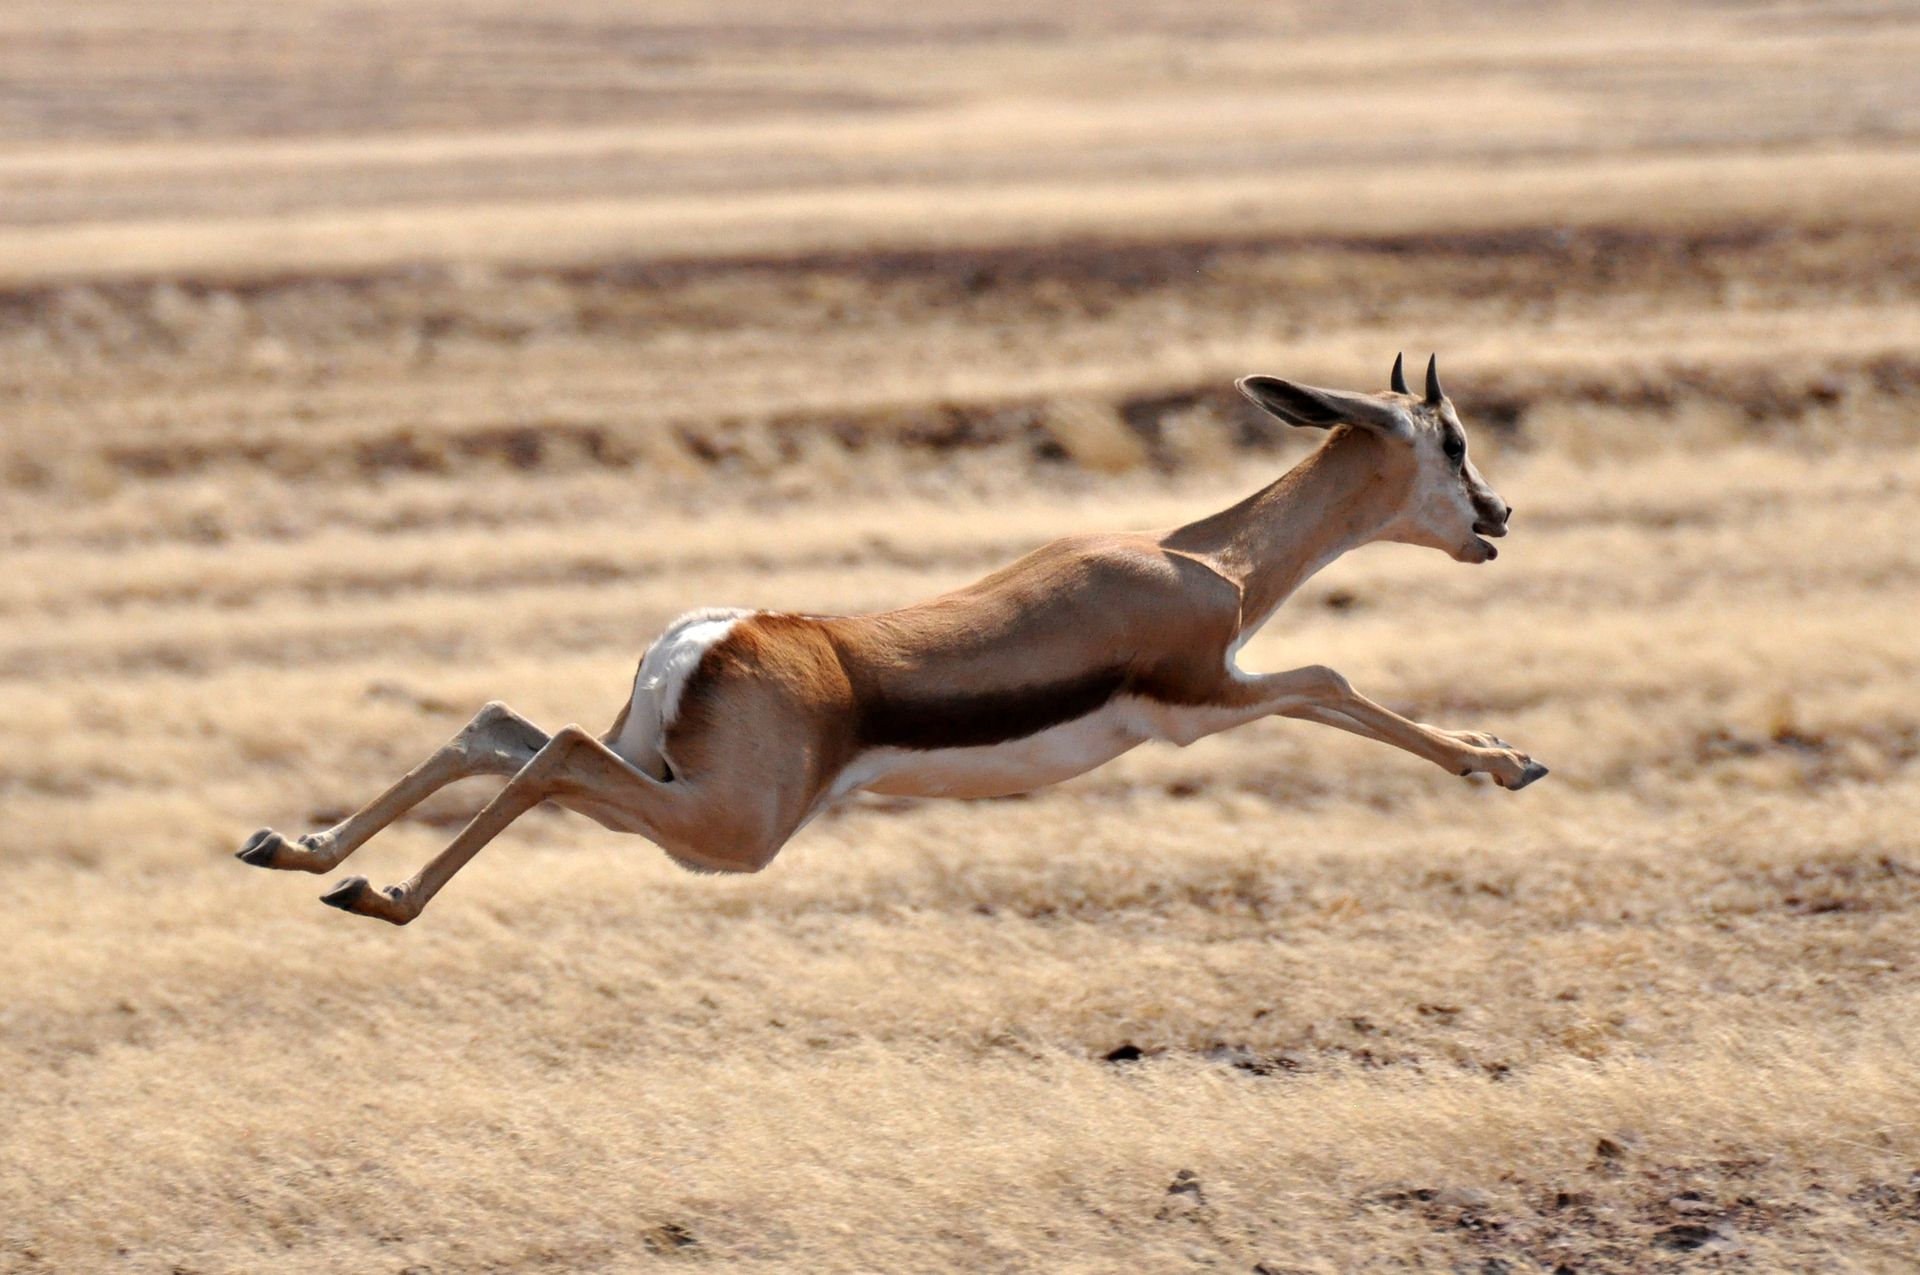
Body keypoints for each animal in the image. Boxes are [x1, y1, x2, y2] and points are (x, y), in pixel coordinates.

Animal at [243, 353, 1543, 921]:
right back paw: (381, 897)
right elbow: (1330, 675)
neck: (1201, 561)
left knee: (498, 728)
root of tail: (718, 636)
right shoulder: (1203, 697)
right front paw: (1506, 758)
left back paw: (298, 851)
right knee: (553, 751)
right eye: (1454, 442)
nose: (1496, 519)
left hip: (663, 778)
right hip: (726, 831)